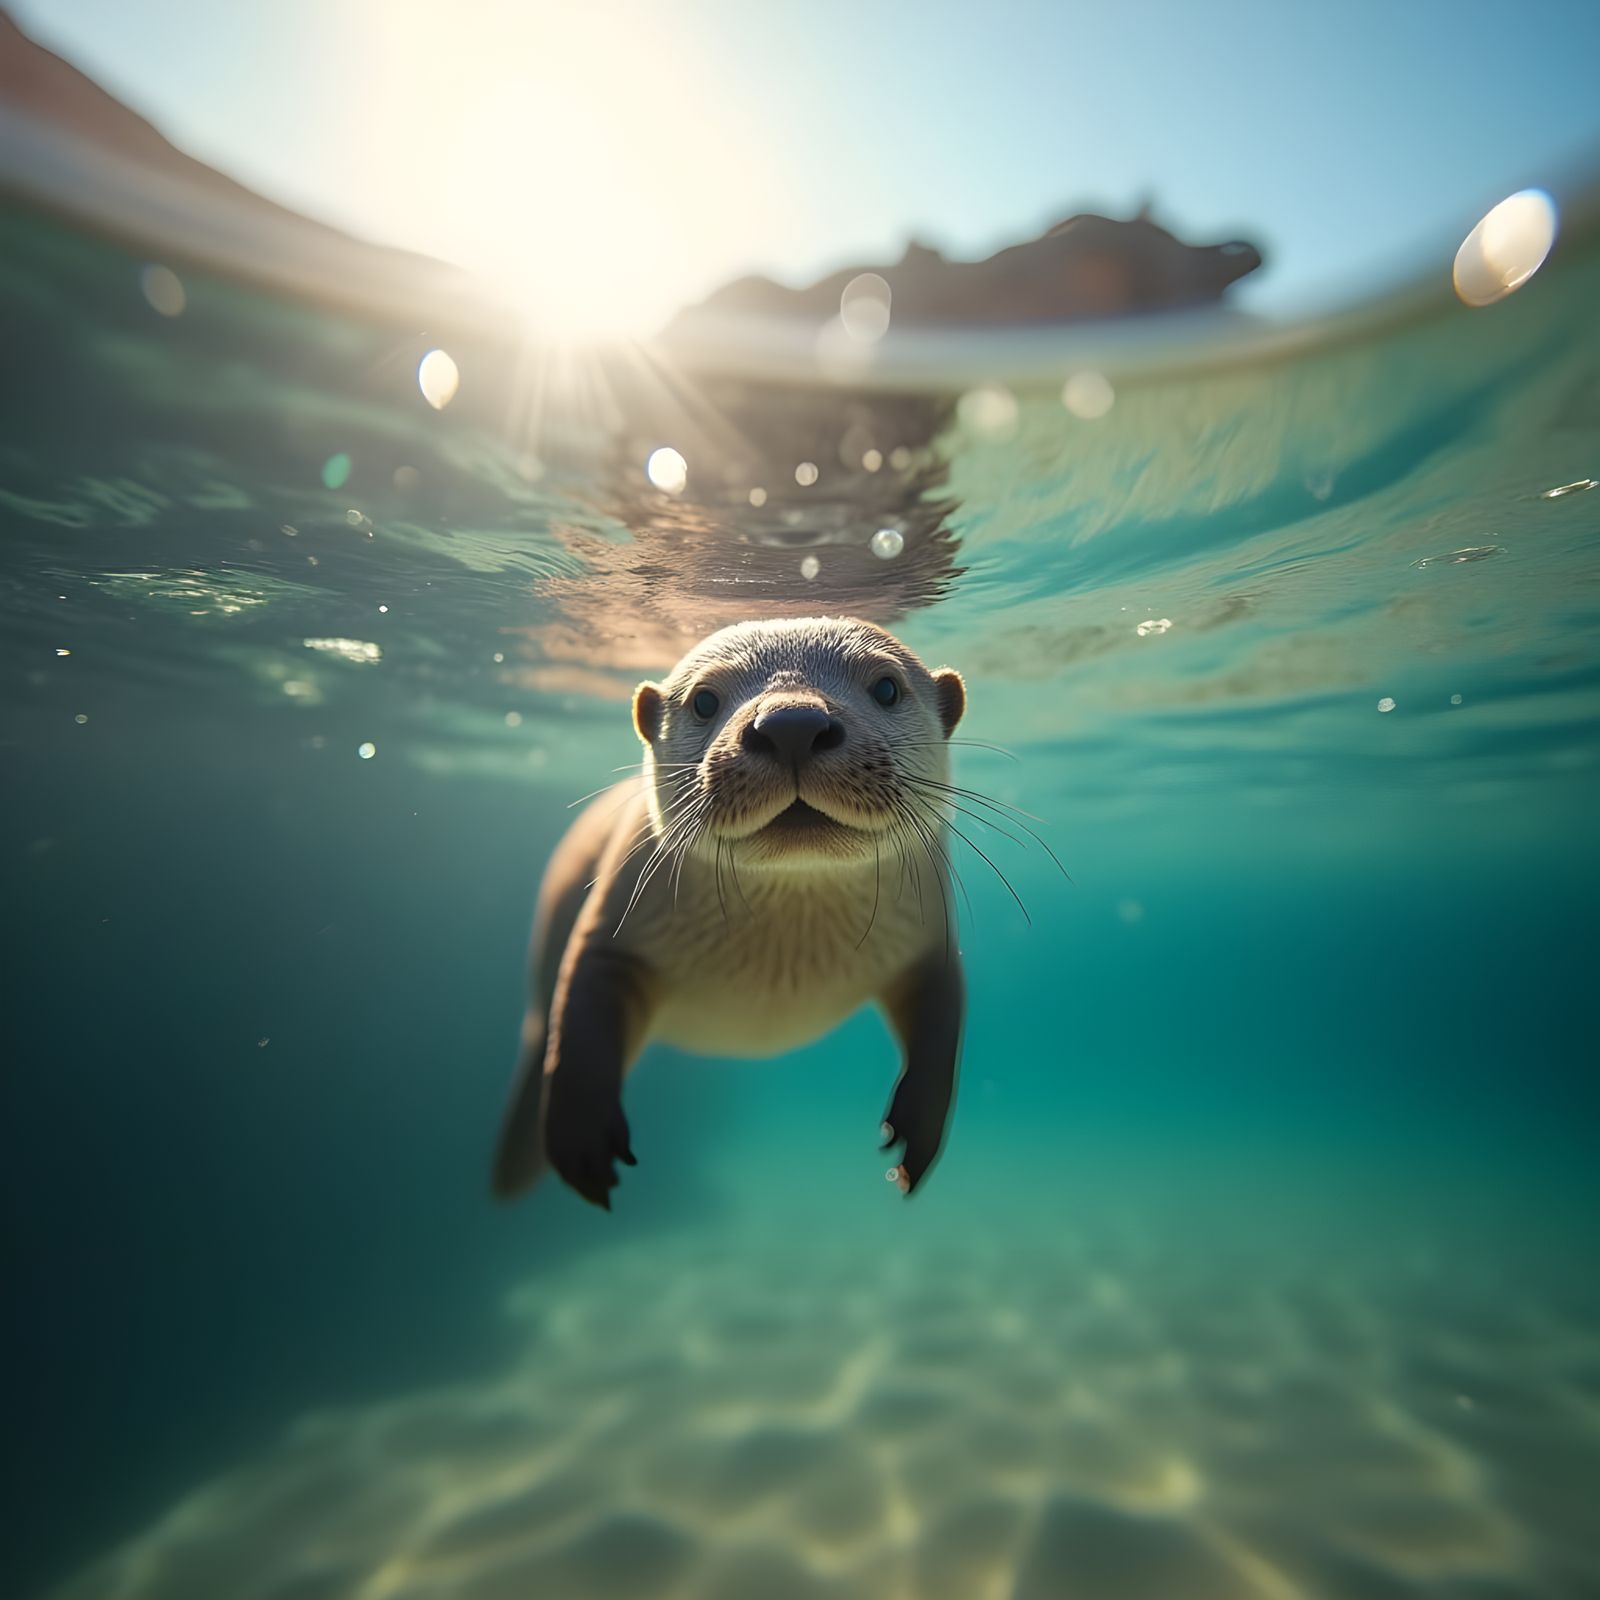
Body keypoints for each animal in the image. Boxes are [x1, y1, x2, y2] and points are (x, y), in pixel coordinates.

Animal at [491, 616, 968, 1209]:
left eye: (886, 687)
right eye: (703, 700)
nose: (792, 723)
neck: (776, 958)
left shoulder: (932, 945)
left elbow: (941, 1029)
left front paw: (918, 1129)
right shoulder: (610, 933)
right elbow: (578, 1025)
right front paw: (583, 1138)